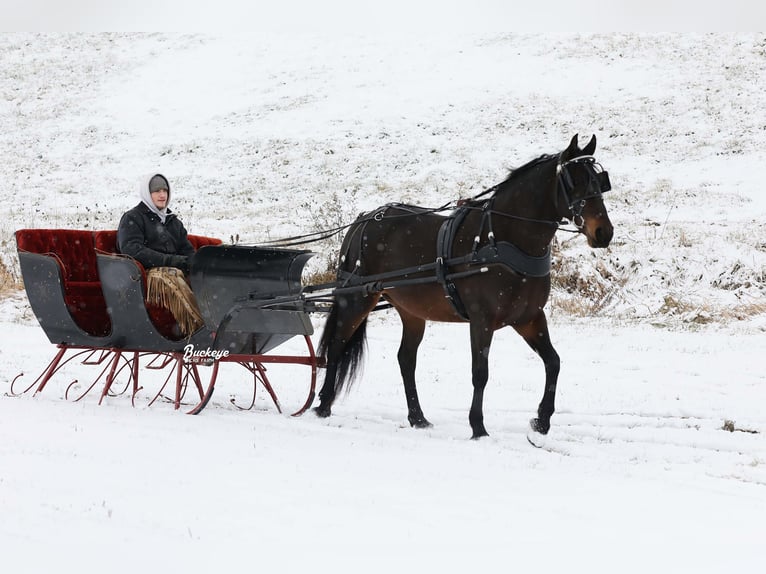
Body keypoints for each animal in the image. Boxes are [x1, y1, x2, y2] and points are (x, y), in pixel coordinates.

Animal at [312, 136, 612, 446]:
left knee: (406, 359)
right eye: (574, 181)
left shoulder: (529, 318)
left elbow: (553, 362)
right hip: (356, 299)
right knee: (336, 346)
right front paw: (478, 427)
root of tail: (363, 219)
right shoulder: (482, 320)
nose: (604, 232)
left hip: (411, 311)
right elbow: (480, 373)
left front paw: (541, 421)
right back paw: (323, 405)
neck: (501, 239)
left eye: (599, 181)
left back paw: (417, 418)